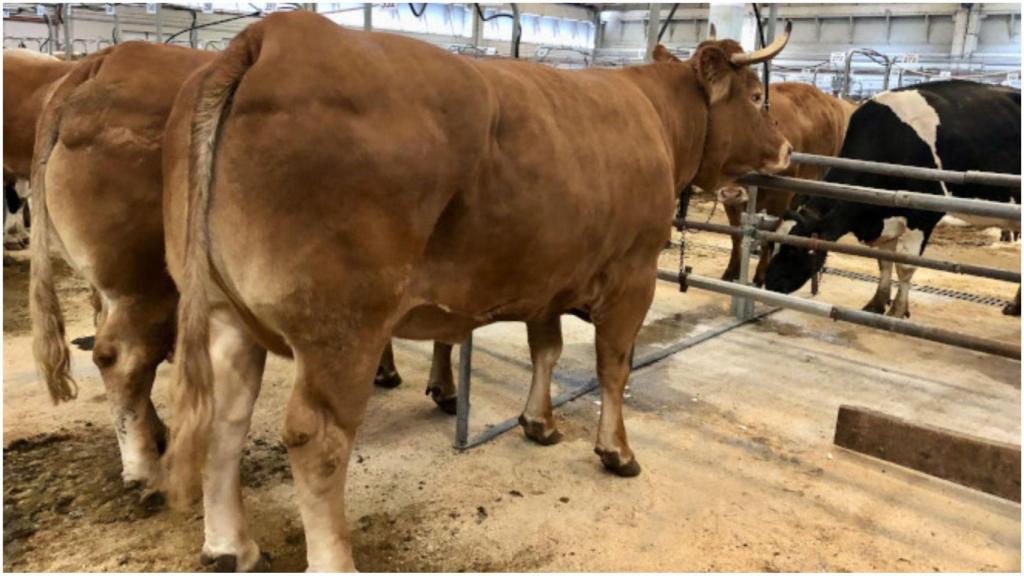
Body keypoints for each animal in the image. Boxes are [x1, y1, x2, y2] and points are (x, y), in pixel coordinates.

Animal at [162, 12, 793, 571]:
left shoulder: (549, 274)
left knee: (225, 416)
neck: (656, 118)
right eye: (756, 96)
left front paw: (539, 423)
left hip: (223, 310)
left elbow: (546, 350)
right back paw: (331, 561)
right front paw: (617, 451)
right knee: (317, 441)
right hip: (341, 327)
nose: (787, 149)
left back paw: (230, 546)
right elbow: (614, 368)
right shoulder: (633, 275)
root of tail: (269, 35)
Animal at [715, 82, 858, 285]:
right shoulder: (731, 203)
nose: (731, 192)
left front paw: (760, 277)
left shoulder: (780, 197)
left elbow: (770, 236)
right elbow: (735, 235)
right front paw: (730, 273)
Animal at [765, 80, 1021, 319]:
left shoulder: (922, 216)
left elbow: (905, 266)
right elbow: (884, 261)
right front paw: (877, 303)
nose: (769, 284)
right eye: (772, 244)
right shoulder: (885, 214)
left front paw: (898, 310)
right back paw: (1015, 307)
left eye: (793, 250)